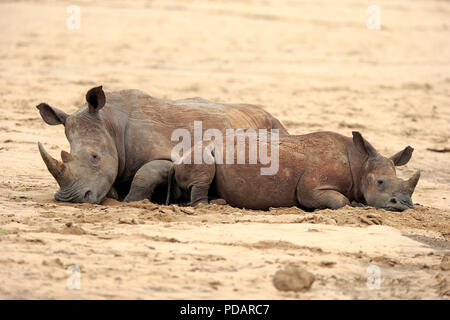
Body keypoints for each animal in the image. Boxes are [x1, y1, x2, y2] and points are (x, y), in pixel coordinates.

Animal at [166, 131, 422, 211]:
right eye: (380, 182)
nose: (405, 205)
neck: (360, 163)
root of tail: (177, 158)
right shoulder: (312, 188)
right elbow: (340, 201)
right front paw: (357, 205)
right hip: (201, 151)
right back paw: (215, 205)